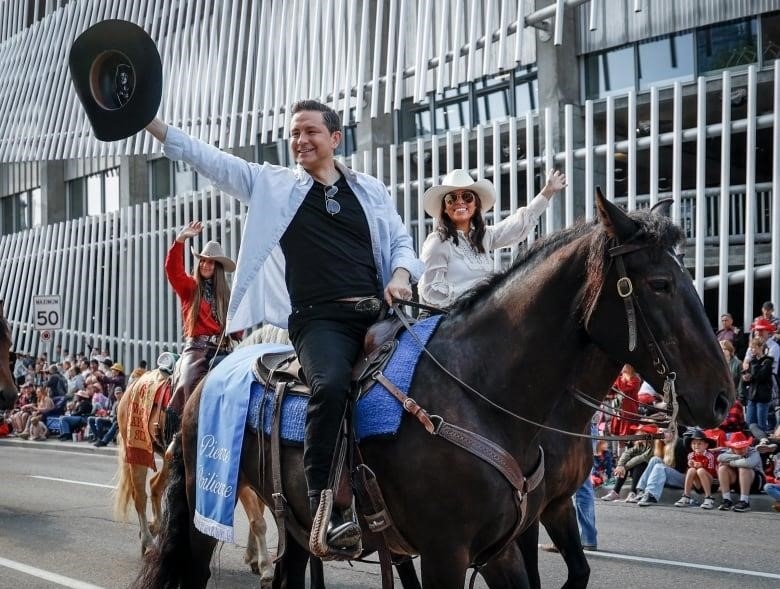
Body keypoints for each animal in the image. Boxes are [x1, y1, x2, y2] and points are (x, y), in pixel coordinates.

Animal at [112, 366, 274, 580]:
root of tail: (136, 379)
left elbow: (258, 515)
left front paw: (253, 557)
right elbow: (258, 521)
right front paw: (266, 567)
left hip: (170, 461)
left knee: (155, 486)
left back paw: (158, 529)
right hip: (137, 453)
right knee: (140, 496)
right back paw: (148, 543)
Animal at [136, 194, 732, 588]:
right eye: (660, 283)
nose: (724, 398)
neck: (484, 395)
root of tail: (211, 376)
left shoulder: (508, 542)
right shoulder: (448, 552)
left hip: (298, 521)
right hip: (204, 503)